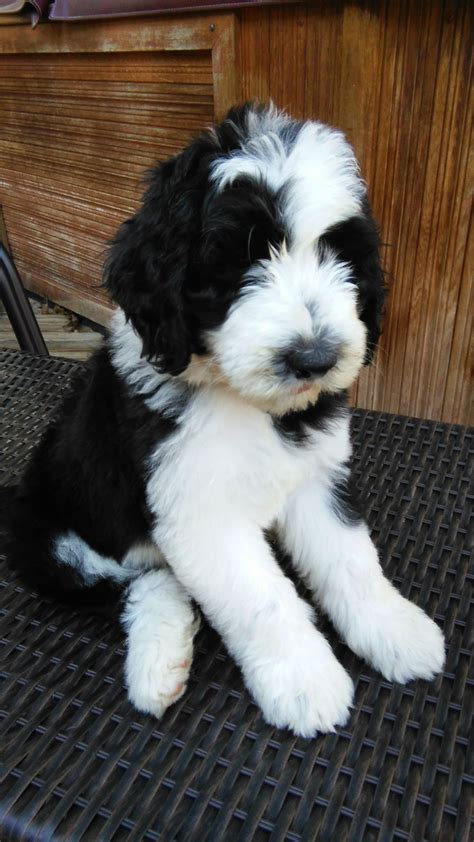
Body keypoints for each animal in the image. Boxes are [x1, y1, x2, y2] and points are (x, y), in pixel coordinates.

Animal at [12, 103, 448, 736]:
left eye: (340, 254)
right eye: (241, 259)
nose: (314, 359)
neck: (249, 402)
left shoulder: (317, 475)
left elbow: (351, 559)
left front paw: (394, 629)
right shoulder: (197, 509)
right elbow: (263, 600)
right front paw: (305, 681)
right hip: (57, 544)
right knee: (141, 577)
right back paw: (159, 660)